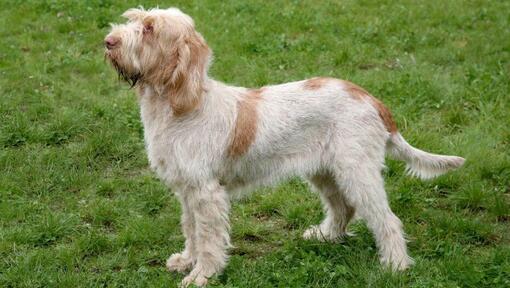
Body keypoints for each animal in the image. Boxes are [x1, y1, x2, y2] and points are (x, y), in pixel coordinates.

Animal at [105, 6, 464, 286]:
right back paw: (325, 236)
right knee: (343, 208)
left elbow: (208, 239)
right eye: (134, 20)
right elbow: (191, 230)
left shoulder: (206, 193)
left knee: (386, 220)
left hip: (357, 172)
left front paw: (202, 275)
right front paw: (186, 261)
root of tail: (370, 98)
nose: (108, 42)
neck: (180, 107)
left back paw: (396, 266)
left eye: (149, 28)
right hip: (324, 171)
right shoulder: (187, 190)